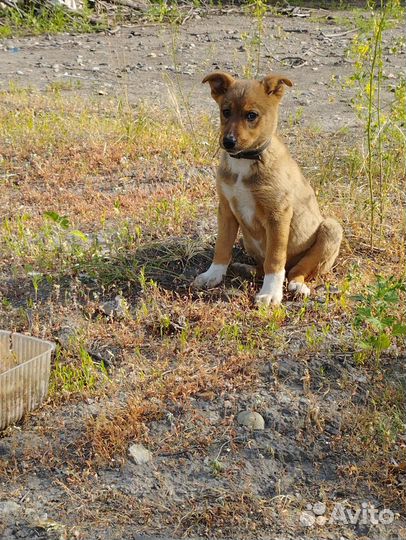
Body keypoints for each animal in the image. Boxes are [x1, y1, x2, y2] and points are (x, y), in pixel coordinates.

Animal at [194, 72, 342, 306]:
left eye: (251, 115)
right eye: (225, 112)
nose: (228, 142)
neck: (246, 161)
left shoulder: (278, 215)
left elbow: (274, 259)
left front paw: (271, 293)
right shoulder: (226, 209)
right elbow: (222, 246)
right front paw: (213, 275)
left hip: (331, 229)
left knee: (296, 271)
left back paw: (297, 286)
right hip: (247, 240)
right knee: (263, 268)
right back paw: (246, 269)